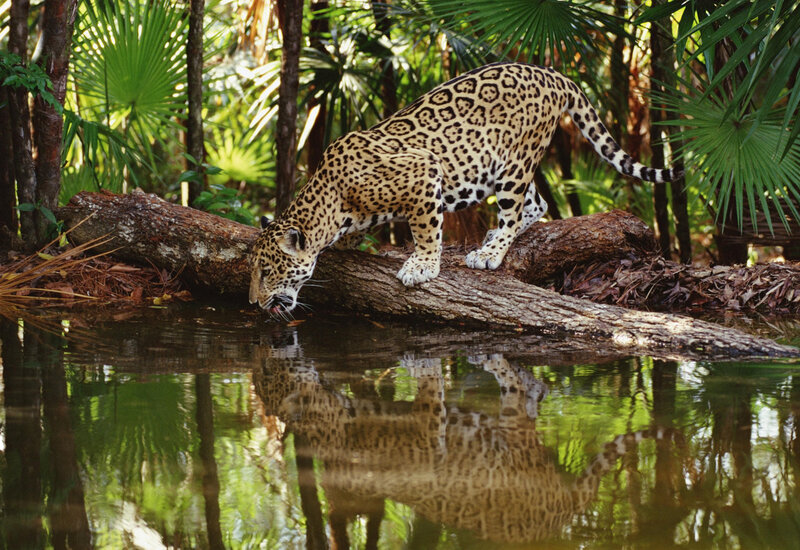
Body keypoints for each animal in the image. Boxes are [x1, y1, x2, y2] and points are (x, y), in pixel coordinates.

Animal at [249, 62, 681, 315]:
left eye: (268, 271)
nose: (254, 303)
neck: (331, 201)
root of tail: (550, 73)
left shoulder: (424, 171)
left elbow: (426, 229)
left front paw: (422, 265)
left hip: (514, 162)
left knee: (515, 208)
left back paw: (489, 252)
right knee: (537, 202)